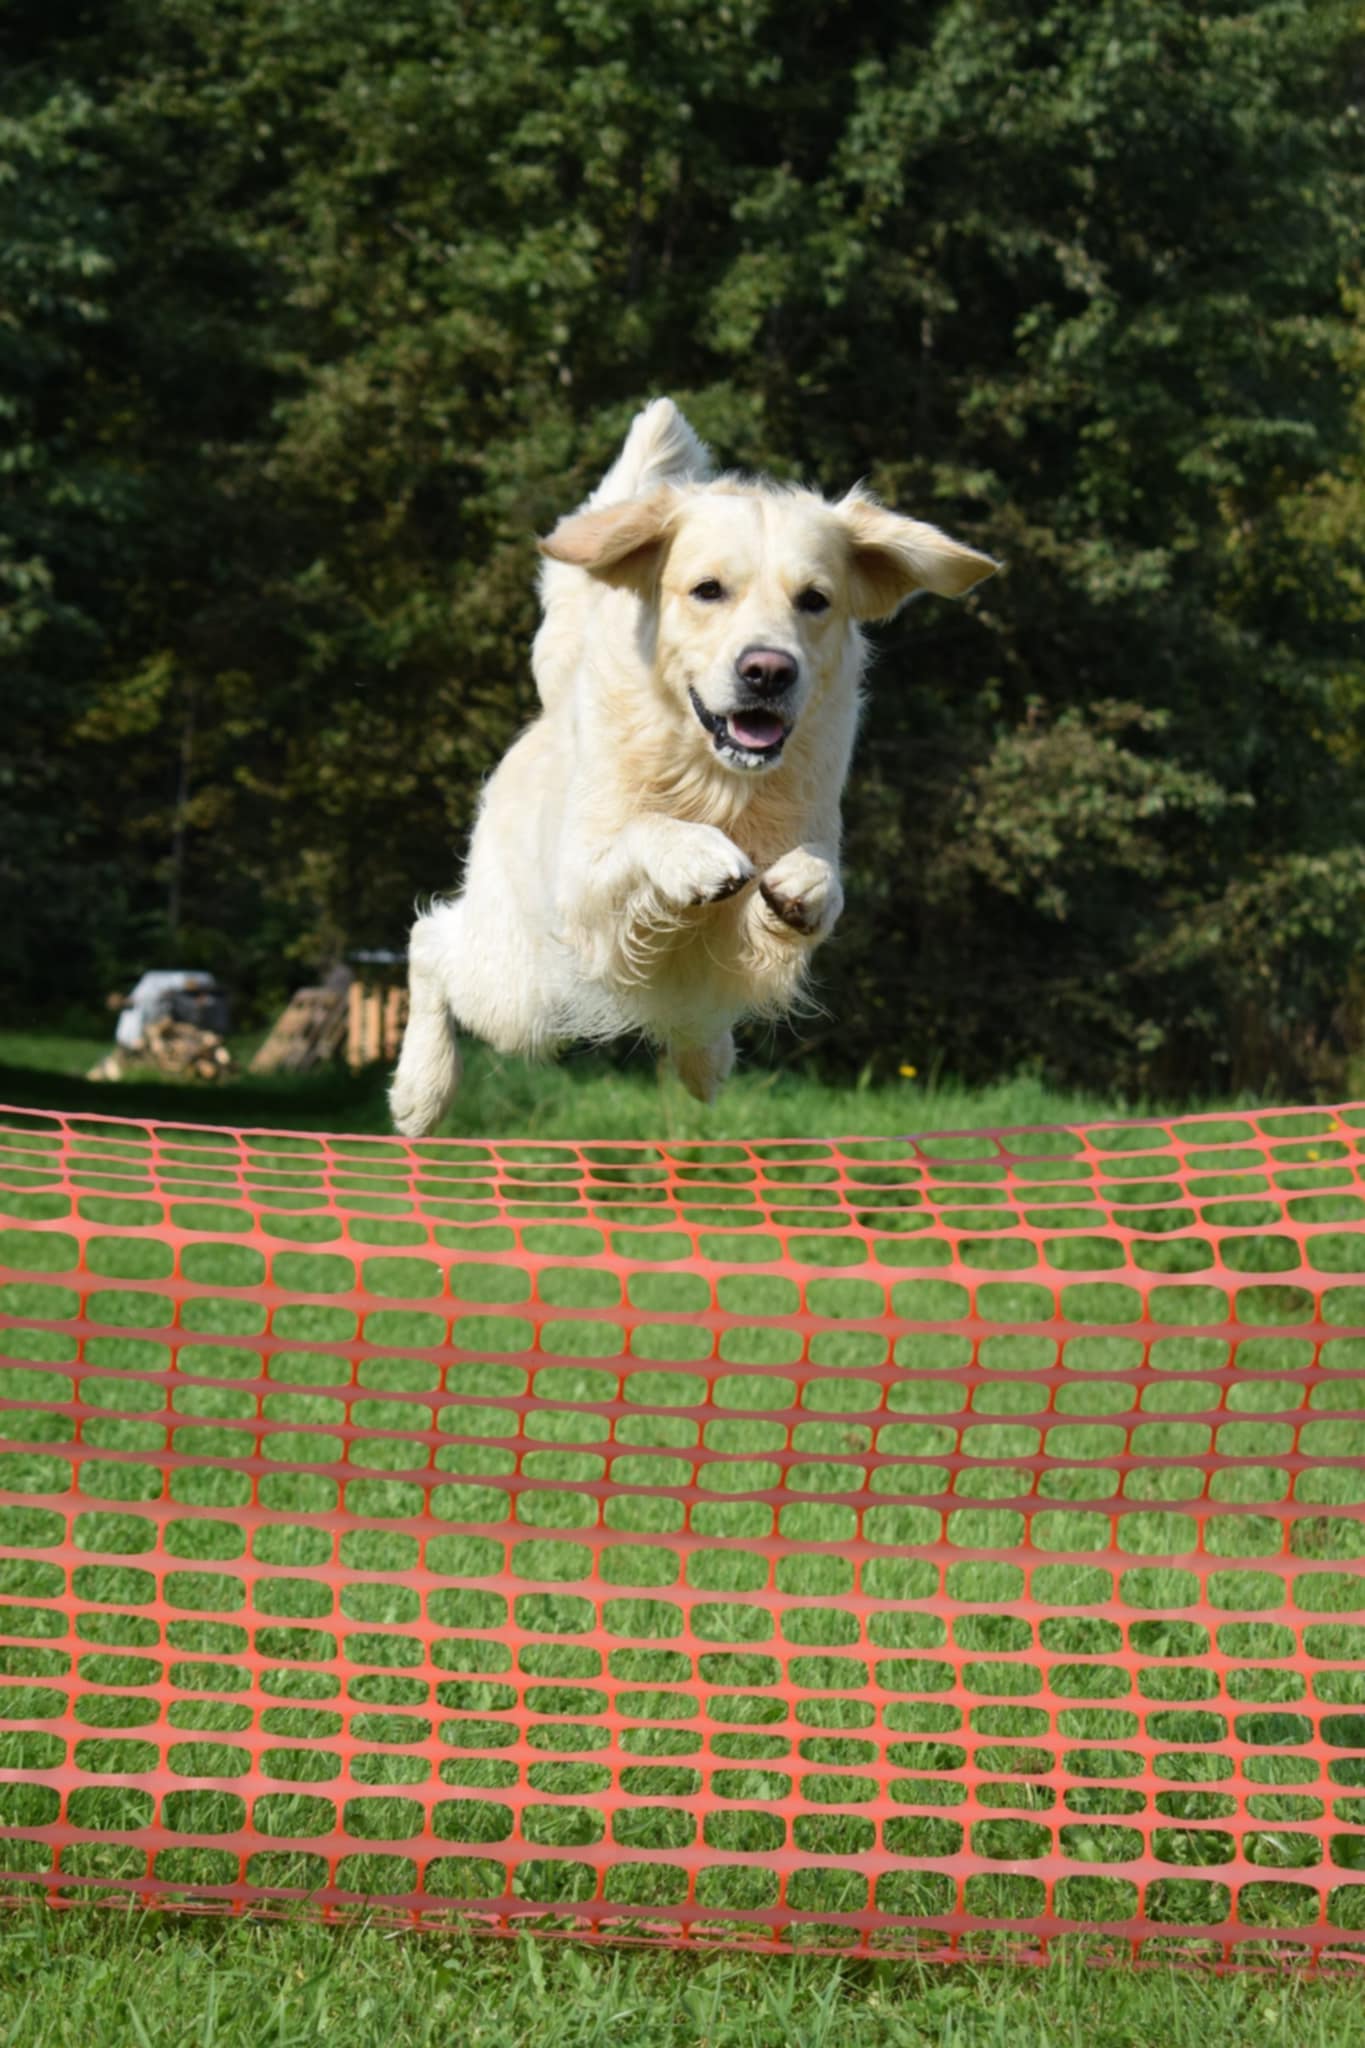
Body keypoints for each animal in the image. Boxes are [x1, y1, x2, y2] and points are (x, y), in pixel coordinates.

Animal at [389, 399, 996, 1136]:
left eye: (815, 600)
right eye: (707, 590)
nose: (768, 670)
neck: (716, 779)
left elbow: (822, 882)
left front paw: (802, 884)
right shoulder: (581, 885)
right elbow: (643, 833)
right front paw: (694, 855)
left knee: (694, 1015)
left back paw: (706, 1064)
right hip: (522, 985)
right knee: (430, 941)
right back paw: (420, 1092)